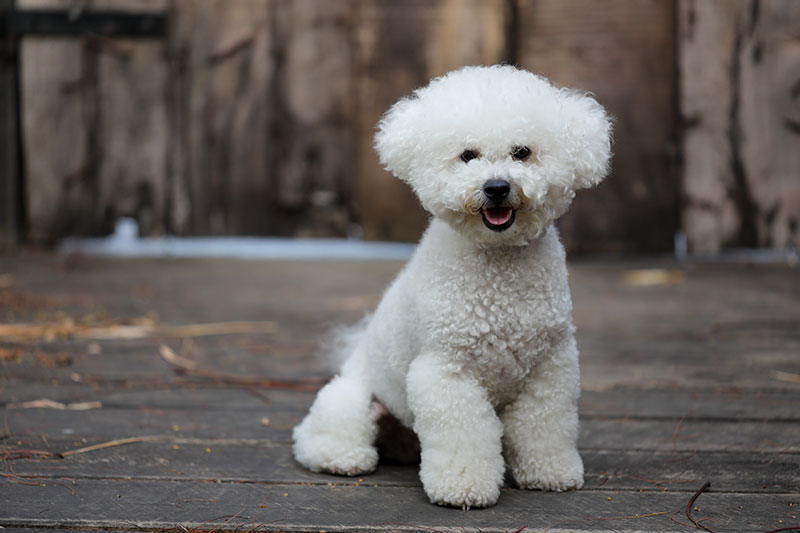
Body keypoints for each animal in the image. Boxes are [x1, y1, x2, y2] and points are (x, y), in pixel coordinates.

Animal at [294, 65, 612, 508]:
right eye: (467, 155)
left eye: (522, 152)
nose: (496, 187)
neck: (497, 266)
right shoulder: (446, 372)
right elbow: (465, 436)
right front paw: (463, 486)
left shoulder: (551, 368)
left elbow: (544, 426)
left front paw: (550, 472)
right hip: (352, 398)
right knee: (321, 431)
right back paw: (343, 456)